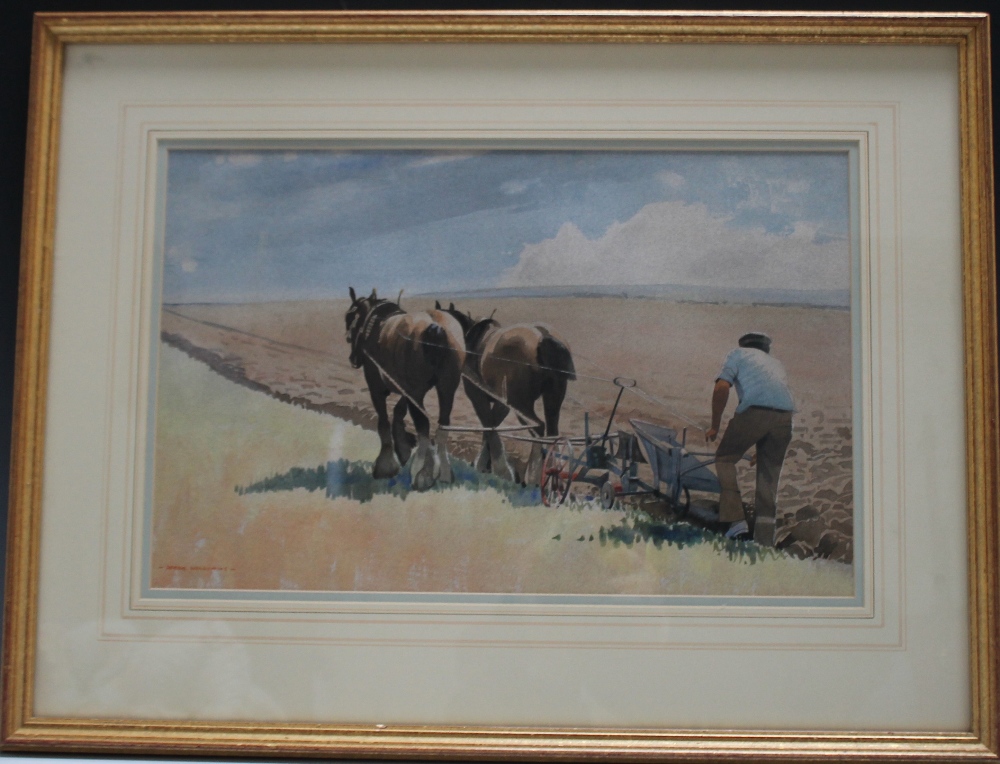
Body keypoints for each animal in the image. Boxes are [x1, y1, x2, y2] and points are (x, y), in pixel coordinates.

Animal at [346, 286, 466, 490]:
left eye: (350, 318)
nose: (353, 359)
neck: (375, 325)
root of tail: (436, 327)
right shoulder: (408, 389)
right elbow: (398, 411)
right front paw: (402, 448)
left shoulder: (377, 387)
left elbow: (384, 422)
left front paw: (386, 465)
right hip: (445, 389)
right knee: (442, 424)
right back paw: (443, 471)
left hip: (417, 392)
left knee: (423, 426)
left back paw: (422, 473)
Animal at [442, 300, 576, 484]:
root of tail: (542, 336)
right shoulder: (501, 403)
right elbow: (491, 426)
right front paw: (486, 465)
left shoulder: (477, 396)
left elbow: (489, 425)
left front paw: (496, 468)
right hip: (552, 398)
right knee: (552, 431)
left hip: (520, 403)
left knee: (538, 427)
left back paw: (533, 476)